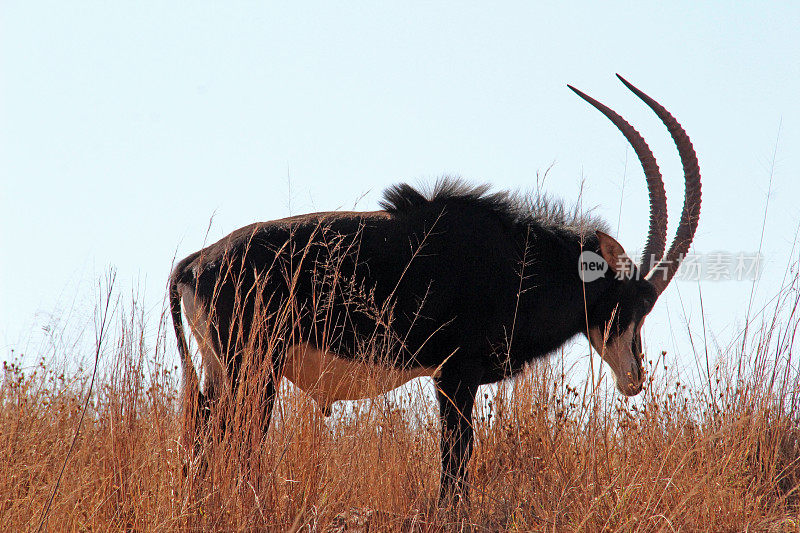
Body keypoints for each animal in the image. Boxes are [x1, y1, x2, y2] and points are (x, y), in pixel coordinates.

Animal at [167, 74, 700, 498]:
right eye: (631, 302)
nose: (634, 378)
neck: (517, 261)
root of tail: (193, 265)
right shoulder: (455, 376)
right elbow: (455, 461)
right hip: (253, 371)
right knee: (235, 446)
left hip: (222, 375)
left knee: (204, 447)